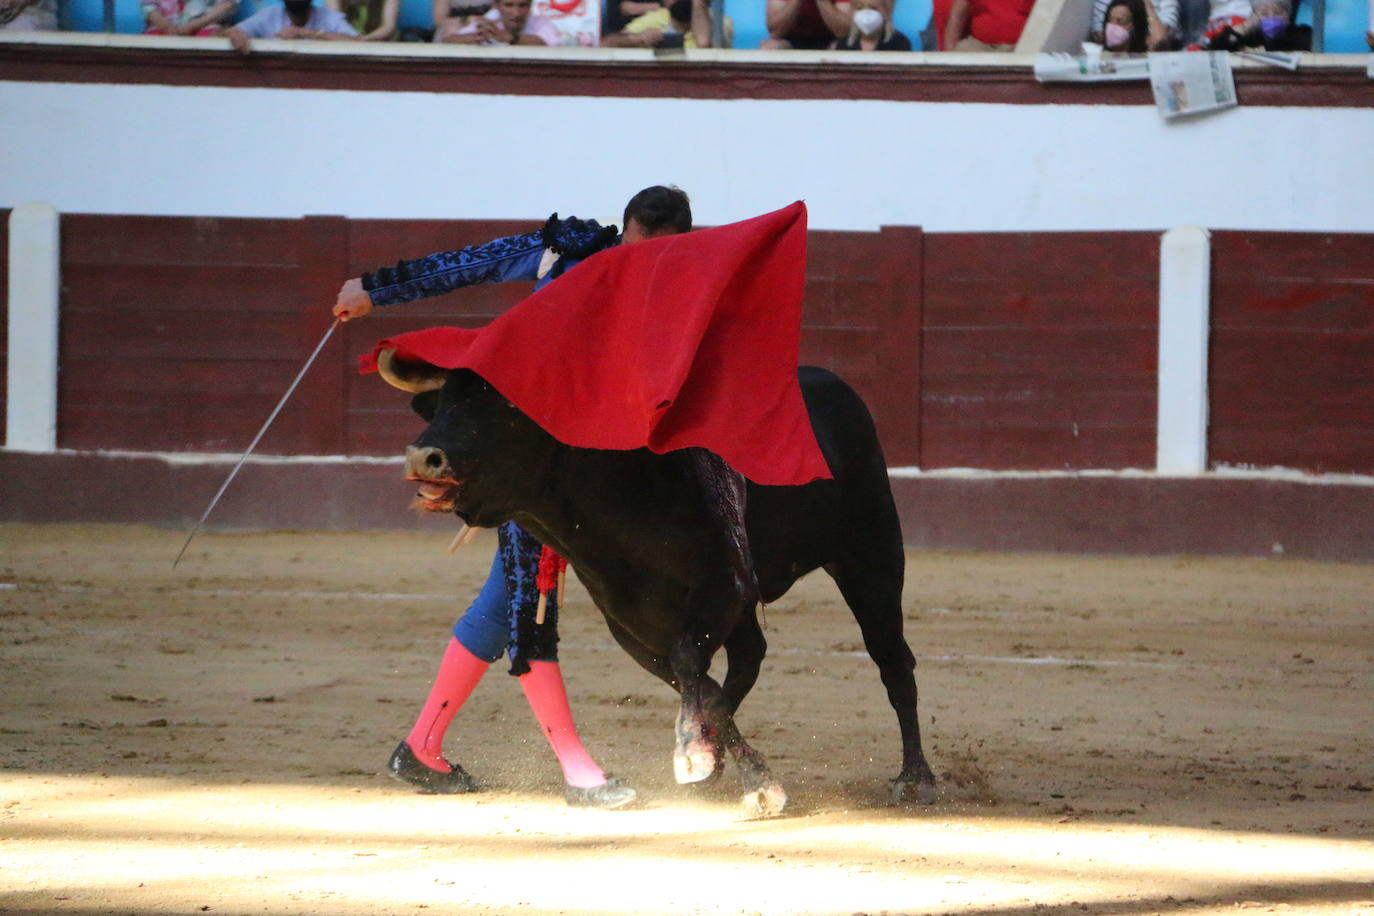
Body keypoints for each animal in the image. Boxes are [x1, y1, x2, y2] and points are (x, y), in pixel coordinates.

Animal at [387, 357, 939, 818]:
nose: (421, 456)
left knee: (892, 659)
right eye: (442, 405)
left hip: (871, 556)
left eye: (503, 411)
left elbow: (692, 666)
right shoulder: (628, 619)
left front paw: (701, 757)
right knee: (750, 657)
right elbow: (699, 683)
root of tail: (830, 381)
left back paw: (917, 780)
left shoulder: (723, 585)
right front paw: (735, 768)